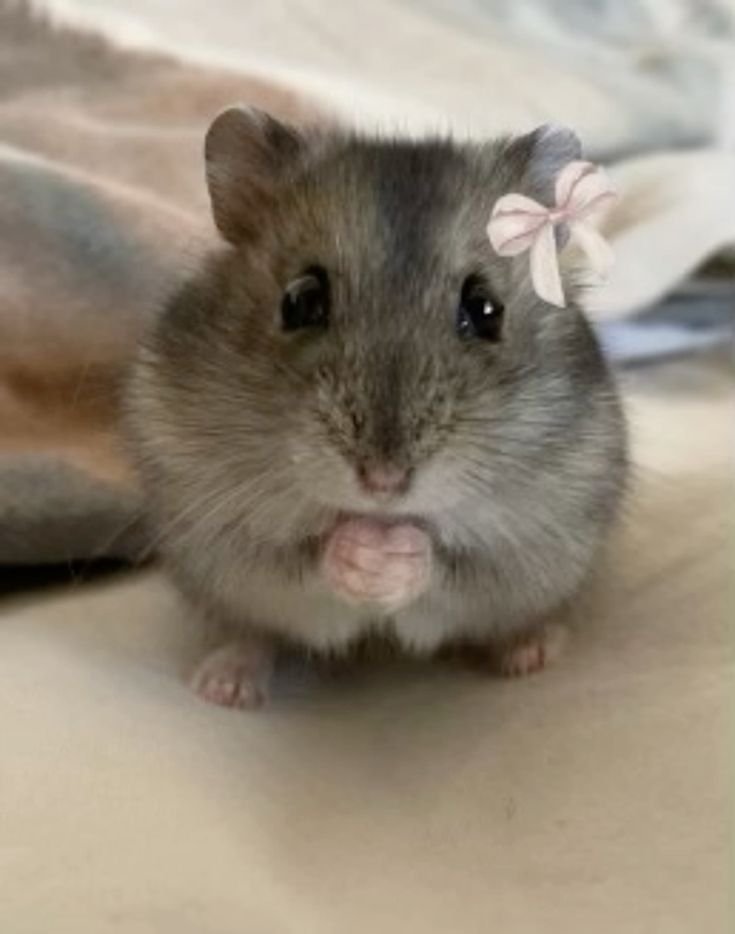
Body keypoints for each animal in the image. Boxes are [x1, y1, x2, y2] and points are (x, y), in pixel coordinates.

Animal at [127, 106, 627, 709]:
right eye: (300, 300)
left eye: (487, 310)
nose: (383, 483)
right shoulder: (225, 536)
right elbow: (307, 559)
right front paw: (363, 550)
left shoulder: (533, 539)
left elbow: (445, 562)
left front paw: (392, 552)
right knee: (251, 633)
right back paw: (222, 685)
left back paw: (531, 653)